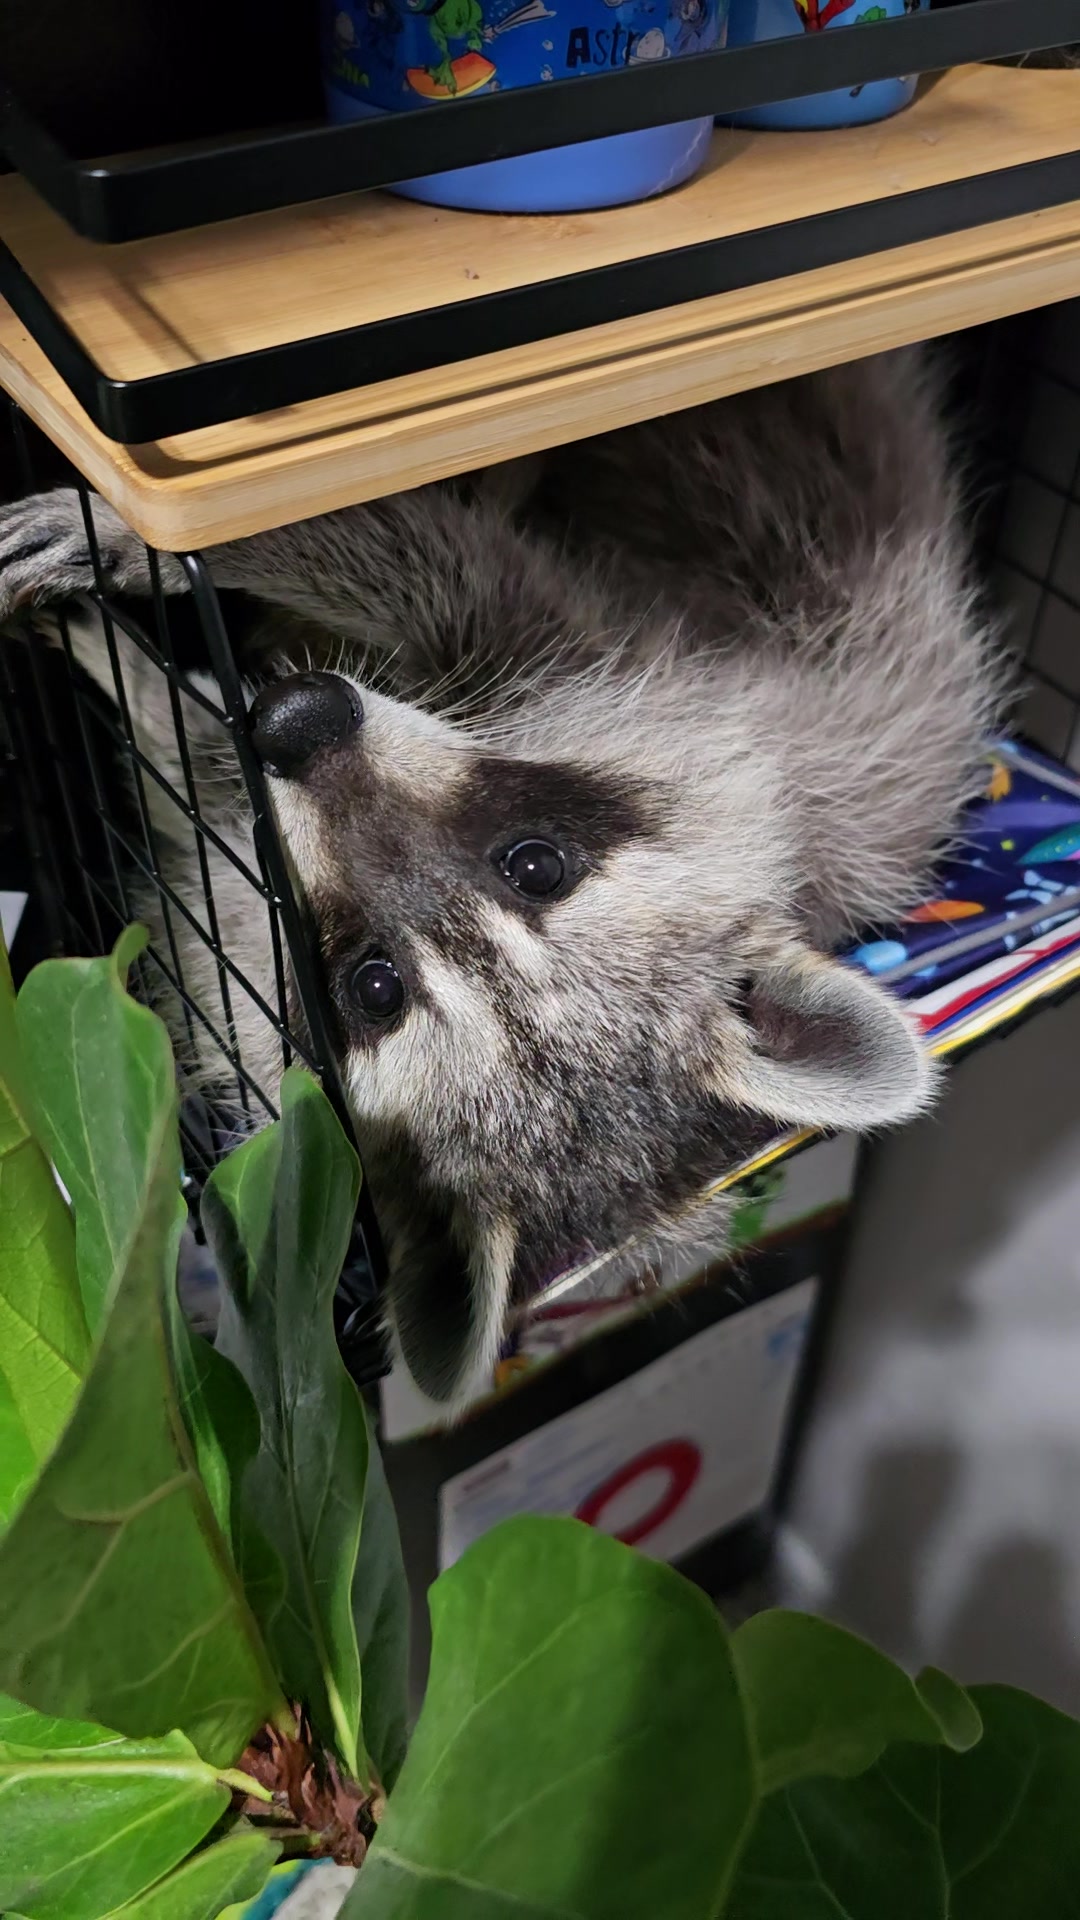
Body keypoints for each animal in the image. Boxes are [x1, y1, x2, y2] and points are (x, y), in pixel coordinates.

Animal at [0, 350, 1004, 1409]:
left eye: (375, 987)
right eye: (537, 864)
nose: (296, 719)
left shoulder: (591, 656)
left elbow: (420, 559)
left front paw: (136, 573)